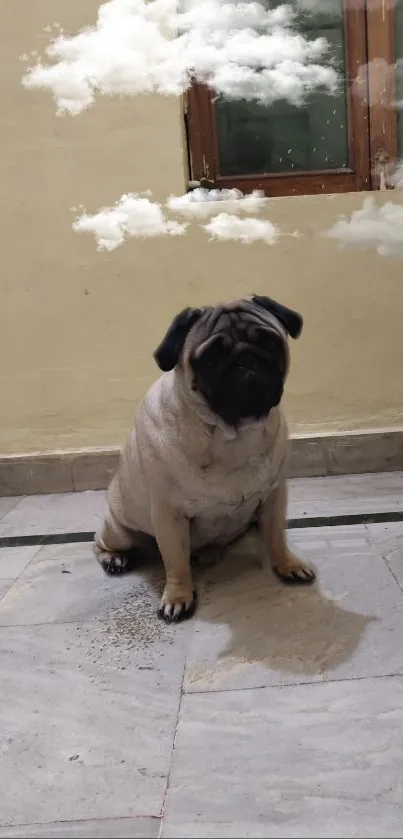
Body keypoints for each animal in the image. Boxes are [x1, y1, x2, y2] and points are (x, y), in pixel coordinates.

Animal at [94, 292, 316, 620]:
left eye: (269, 341)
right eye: (211, 357)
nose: (246, 360)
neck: (231, 435)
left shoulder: (275, 496)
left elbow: (277, 536)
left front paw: (287, 564)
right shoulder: (169, 515)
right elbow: (175, 562)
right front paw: (178, 596)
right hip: (118, 530)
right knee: (101, 543)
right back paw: (114, 559)